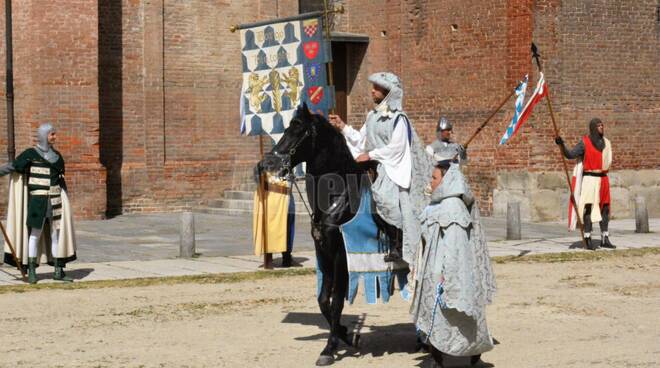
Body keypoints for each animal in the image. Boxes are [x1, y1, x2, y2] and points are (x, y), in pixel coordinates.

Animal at [256, 105, 402, 366]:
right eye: (286, 128)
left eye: (299, 132)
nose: (267, 163)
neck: (336, 199)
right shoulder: (323, 254)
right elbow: (323, 300)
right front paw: (346, 334)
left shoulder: (341, 257)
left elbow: (335, 303)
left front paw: (329, 348)